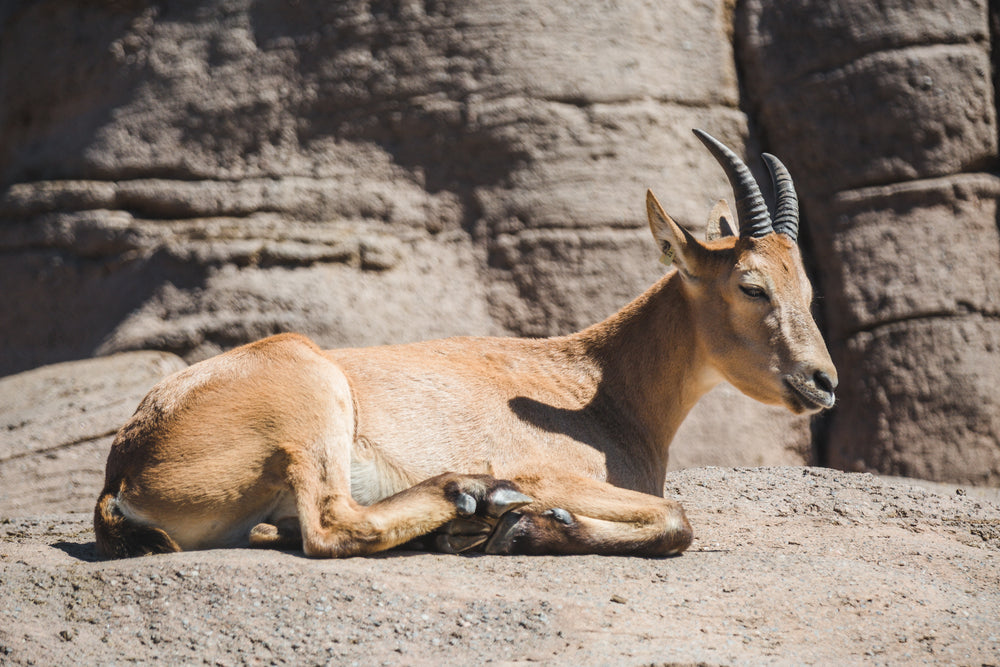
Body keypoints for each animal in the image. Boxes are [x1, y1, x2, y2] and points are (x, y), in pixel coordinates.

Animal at [97, 129, 840, 560]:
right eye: (751, 285)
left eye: (804, 283)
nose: (822, 381)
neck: (594, 385)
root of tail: (124, 467)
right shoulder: (554, 472)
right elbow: (678, 518)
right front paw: (515, 525)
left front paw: (502, 527)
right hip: (308, 391)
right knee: (331, 526)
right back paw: (472, 494)